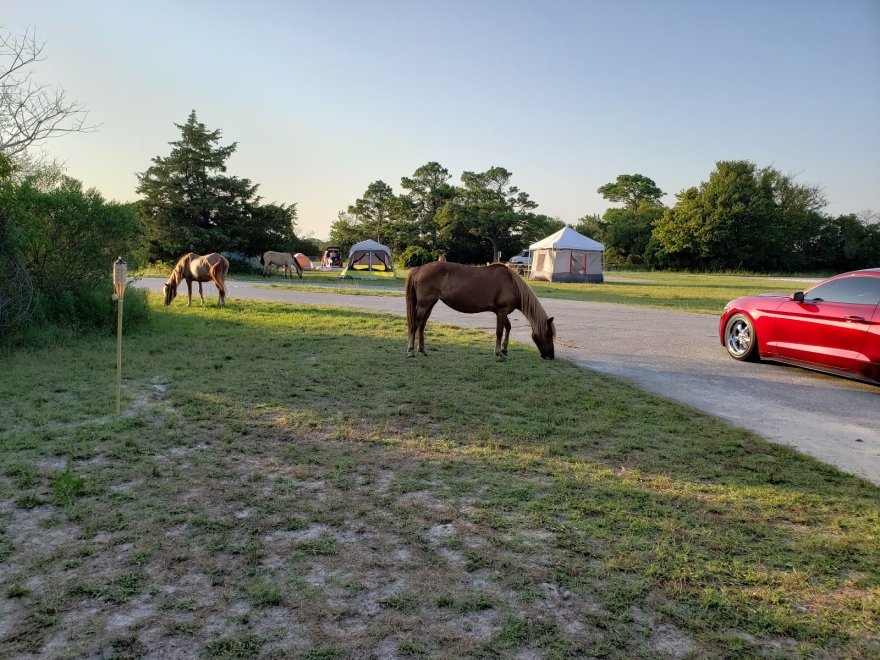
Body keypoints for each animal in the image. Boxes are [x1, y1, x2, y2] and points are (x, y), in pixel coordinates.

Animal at [402, 260, 552, 358]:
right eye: (549, 334)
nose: (550, 355)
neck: (512, 283)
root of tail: (420, 268)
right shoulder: (501, 311)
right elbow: (499, 331)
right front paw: (498, 352)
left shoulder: (501, 312)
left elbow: (508, 327)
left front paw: (504, 349)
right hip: (424, 304)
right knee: (415, 325)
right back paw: (411, 351)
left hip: (430, 304)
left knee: (422, 325)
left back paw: (422, 350)